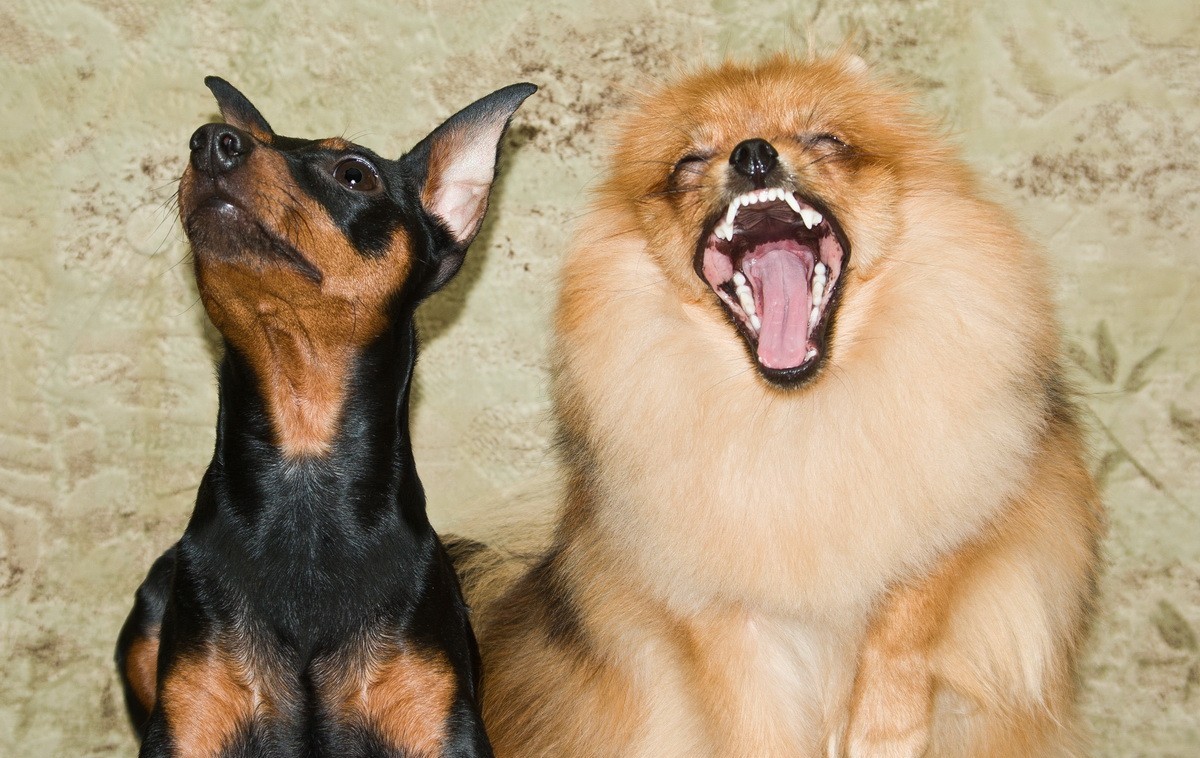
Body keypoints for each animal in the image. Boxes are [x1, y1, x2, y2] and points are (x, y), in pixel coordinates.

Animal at [452, 53, 1104, 757]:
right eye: (689, 160)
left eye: (826, 139)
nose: (753, 152)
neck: (795, 419)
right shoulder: (726, 616)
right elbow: (755, 719)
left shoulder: (955, 523)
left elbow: (906, 622)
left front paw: (883, 731)